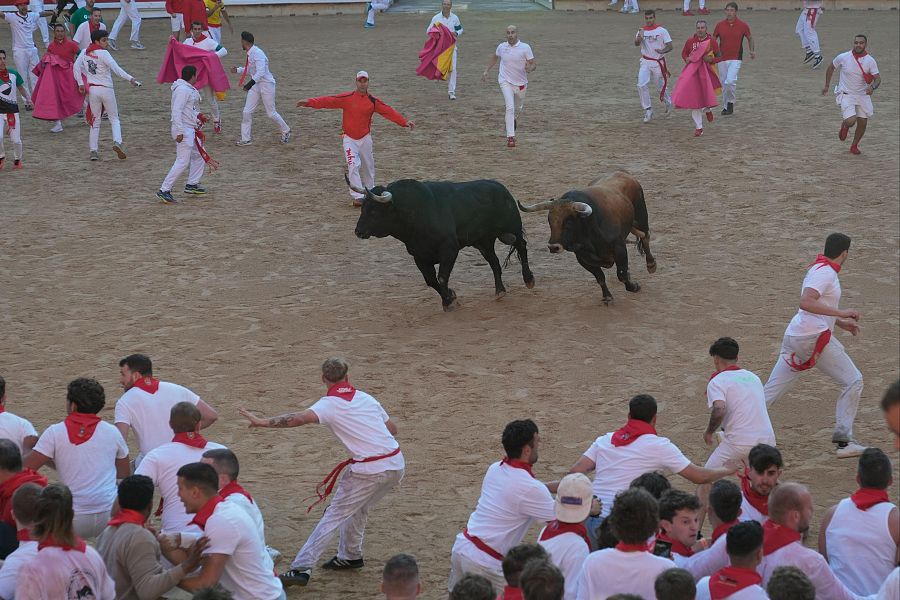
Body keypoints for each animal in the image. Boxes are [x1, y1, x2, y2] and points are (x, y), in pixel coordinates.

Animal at [352, 177, 536, 310]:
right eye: (362, 208)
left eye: (374, 211)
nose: (358, 231)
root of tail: (501, 188)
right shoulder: (419, 256)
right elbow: (431, 281)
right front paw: (450, 298)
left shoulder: (449, 249)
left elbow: (441, 278)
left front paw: (450, 301)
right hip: (483, 241)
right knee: (494, 262)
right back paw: (499, 291)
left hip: (512, 228)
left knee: (521, 247)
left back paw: (528, 280)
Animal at [520, 172, 652, 304]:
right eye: (549, 220)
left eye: (568, 222)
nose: (553, 247)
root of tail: (624, 174)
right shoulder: (583, 258)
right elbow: (600, 277)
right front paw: (607, 296)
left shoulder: (619, 248)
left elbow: (622, 275)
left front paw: (633, 287)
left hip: (641, 219)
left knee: (645, 237)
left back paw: (651, 264)